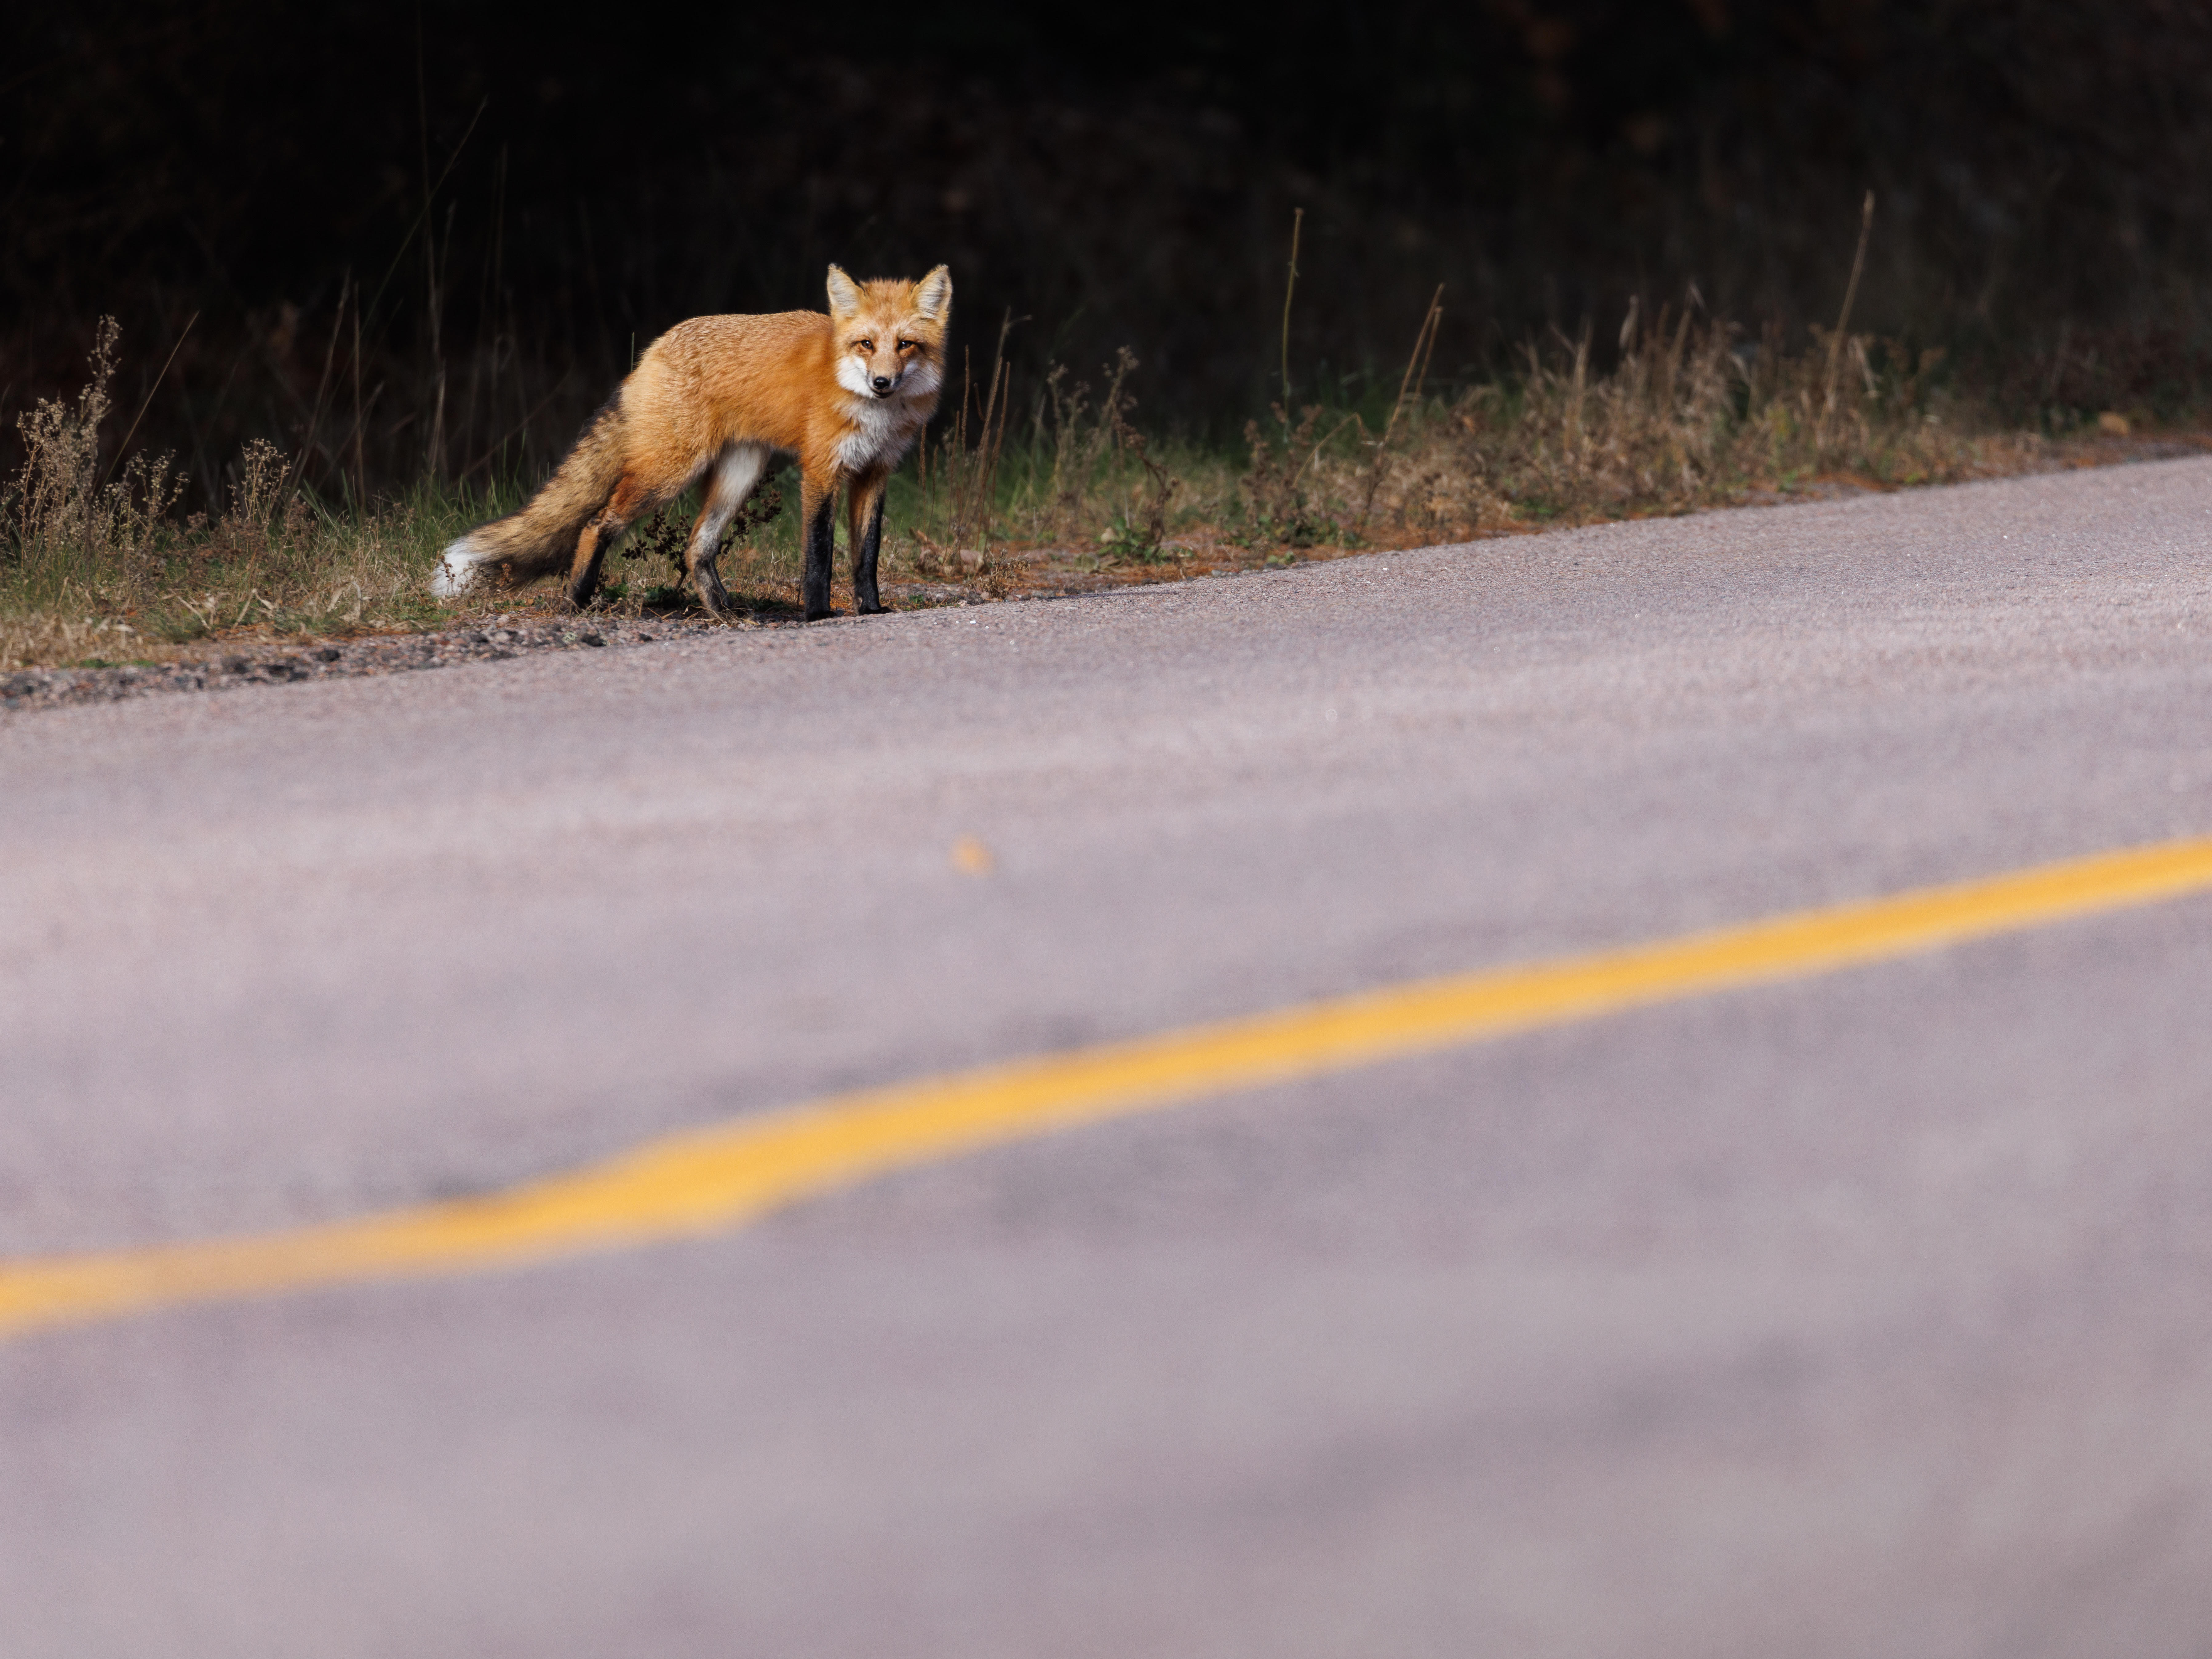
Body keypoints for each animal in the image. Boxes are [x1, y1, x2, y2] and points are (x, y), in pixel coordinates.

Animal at [431, 266, 951, 624]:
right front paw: (819, 613)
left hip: (739, 474)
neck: (874, 413)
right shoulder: (821, 469)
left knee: (696, 548)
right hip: (670, 472)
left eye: (905, 345)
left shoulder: (874, 472)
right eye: (866, 345)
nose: (883, 383)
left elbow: (867, 553)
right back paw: (578, 599)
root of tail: (652, 350)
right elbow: (820, 551)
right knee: (597, 523)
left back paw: (723, 612)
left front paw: (872, 609)